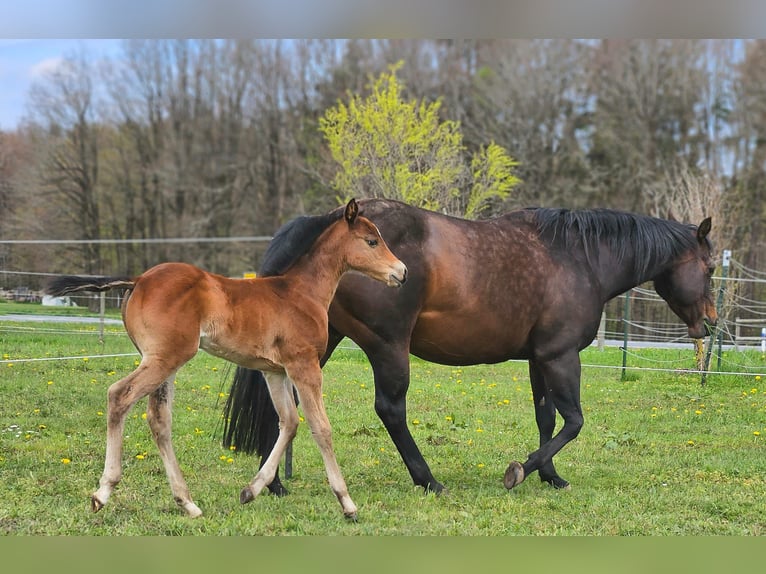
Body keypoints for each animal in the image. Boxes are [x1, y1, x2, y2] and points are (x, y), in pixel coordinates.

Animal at [46, 199, 408, 520]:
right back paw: (103, 492)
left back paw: (187, 503)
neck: (301, 293)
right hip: (165, 358)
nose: (402, 272)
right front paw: (347, 503)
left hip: (164, 363)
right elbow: (321, 427)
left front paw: (250, 490)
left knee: (159, 419)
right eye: (372, 240)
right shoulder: (304, 366)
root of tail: (139, 280)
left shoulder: (274, 371)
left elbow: (289, 422)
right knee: (119, 395)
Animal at [224, 199, 720, 500]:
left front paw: (550, 476)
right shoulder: (561, 357)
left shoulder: (539, 359)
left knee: (285, 402)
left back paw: (273, 485)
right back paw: (428, 480)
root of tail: (323, 222)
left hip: (316, 345)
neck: (579, 259)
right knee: (390, 409)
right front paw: (520, 471)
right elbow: (574, 421)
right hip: (387, 347)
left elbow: (546, 418)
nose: (712, 323)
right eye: (711, 267)